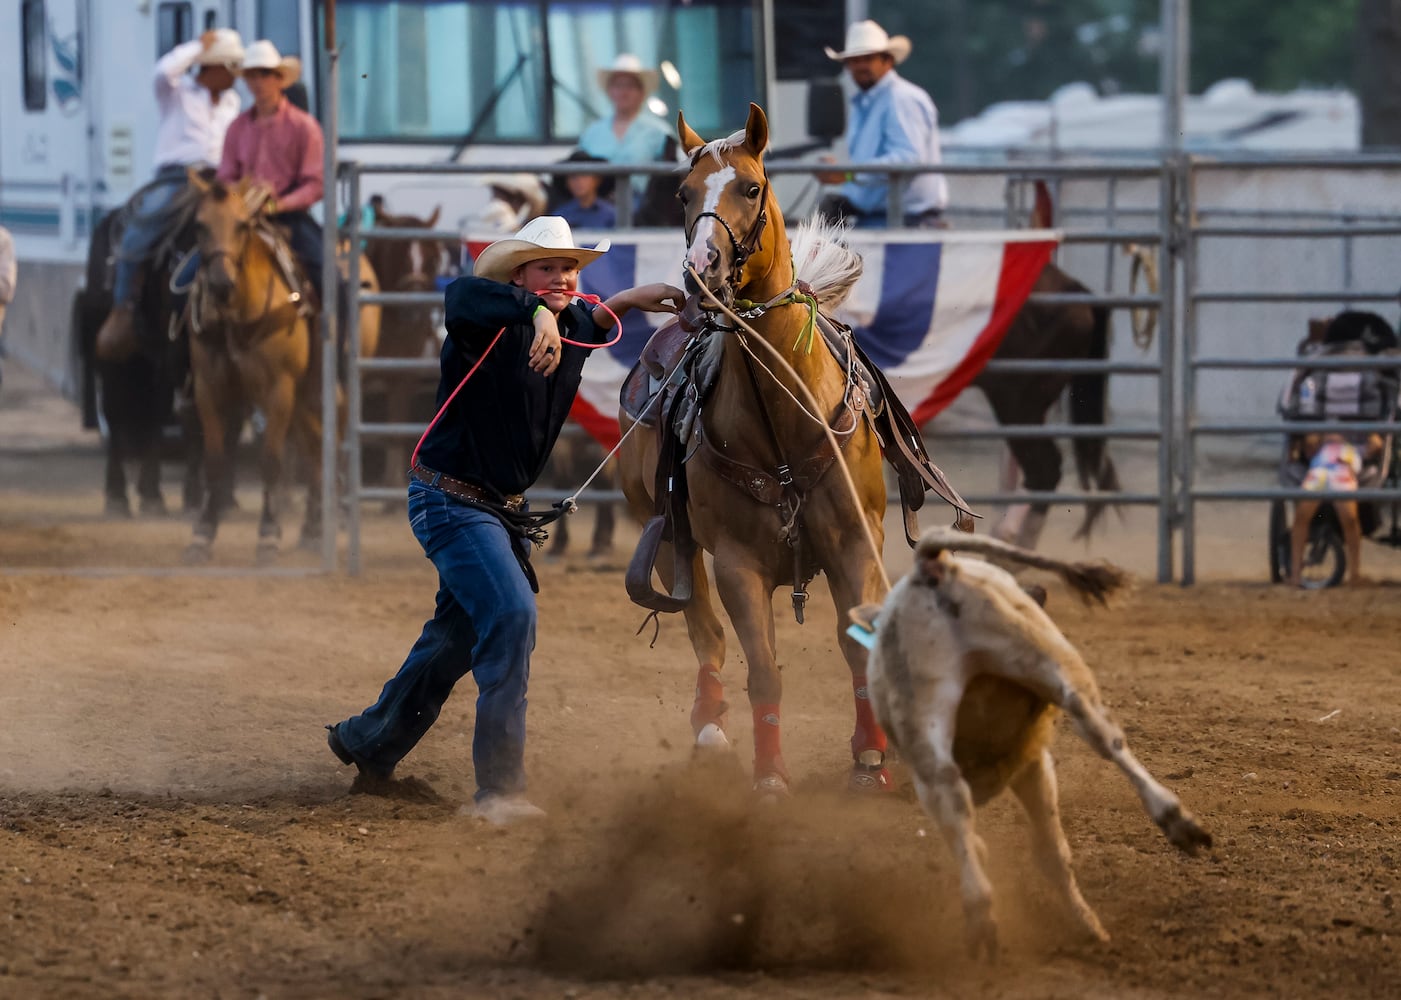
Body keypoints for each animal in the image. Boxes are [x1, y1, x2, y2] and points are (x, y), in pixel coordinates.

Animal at [184, 173, 329, 560]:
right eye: (199, 225)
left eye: (242, 225)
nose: (221, 284)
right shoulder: (208, 388)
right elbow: (215, 460)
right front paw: (203, 532)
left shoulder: (279, 390)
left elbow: (271, 460)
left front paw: (269, 534)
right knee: (312, 447)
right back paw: (310, 529)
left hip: (311, 390)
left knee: (318, 446)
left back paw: (314, 528)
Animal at [624, 105, 975, 795]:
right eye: (683, 194)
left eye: (750, 187)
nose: (701, 273)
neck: (783, 422)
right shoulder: (737, 563)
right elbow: (762, 668)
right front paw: (771, 776)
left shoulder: (856, 540)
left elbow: (856, 642)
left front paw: (871, 759)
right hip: (673, 536)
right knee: (706, 634)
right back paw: (710, 728)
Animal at [846, 529, 1210, 957]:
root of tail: (928, 568)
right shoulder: (1032, 764)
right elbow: (1050, 849)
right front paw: (1085, 924)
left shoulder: (1029, 766)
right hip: (1044, 659)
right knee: (1102, 733)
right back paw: (1176, 823)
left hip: (940, 728)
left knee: (953, 798)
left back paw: (984, 916)